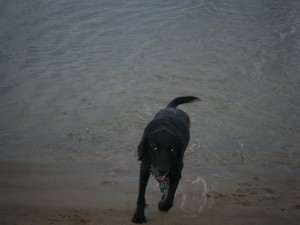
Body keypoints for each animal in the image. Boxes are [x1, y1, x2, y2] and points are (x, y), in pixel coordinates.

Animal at [131, 95, 199, 223]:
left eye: (171, 150)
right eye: (155, 148)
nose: (162, 170)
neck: (164, 128)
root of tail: (172, 108)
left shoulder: (176, 172)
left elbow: (169, 199)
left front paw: (162, 204)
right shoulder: (144, 169)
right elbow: (141, 195)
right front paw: (139, 215)